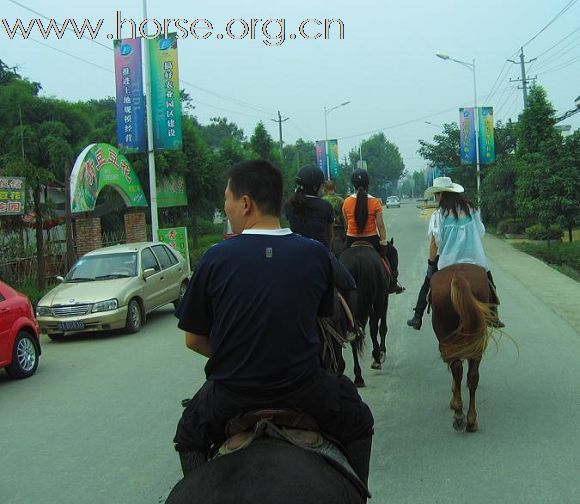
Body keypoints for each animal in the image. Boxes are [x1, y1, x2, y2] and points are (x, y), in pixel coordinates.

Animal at [430, 264, 494, 434]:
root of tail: (458, 276)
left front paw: (454, 400)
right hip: (476, 341)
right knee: (472, 376)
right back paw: (471, 420)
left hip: (447, 337)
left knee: (457, 369)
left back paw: (458, 414)